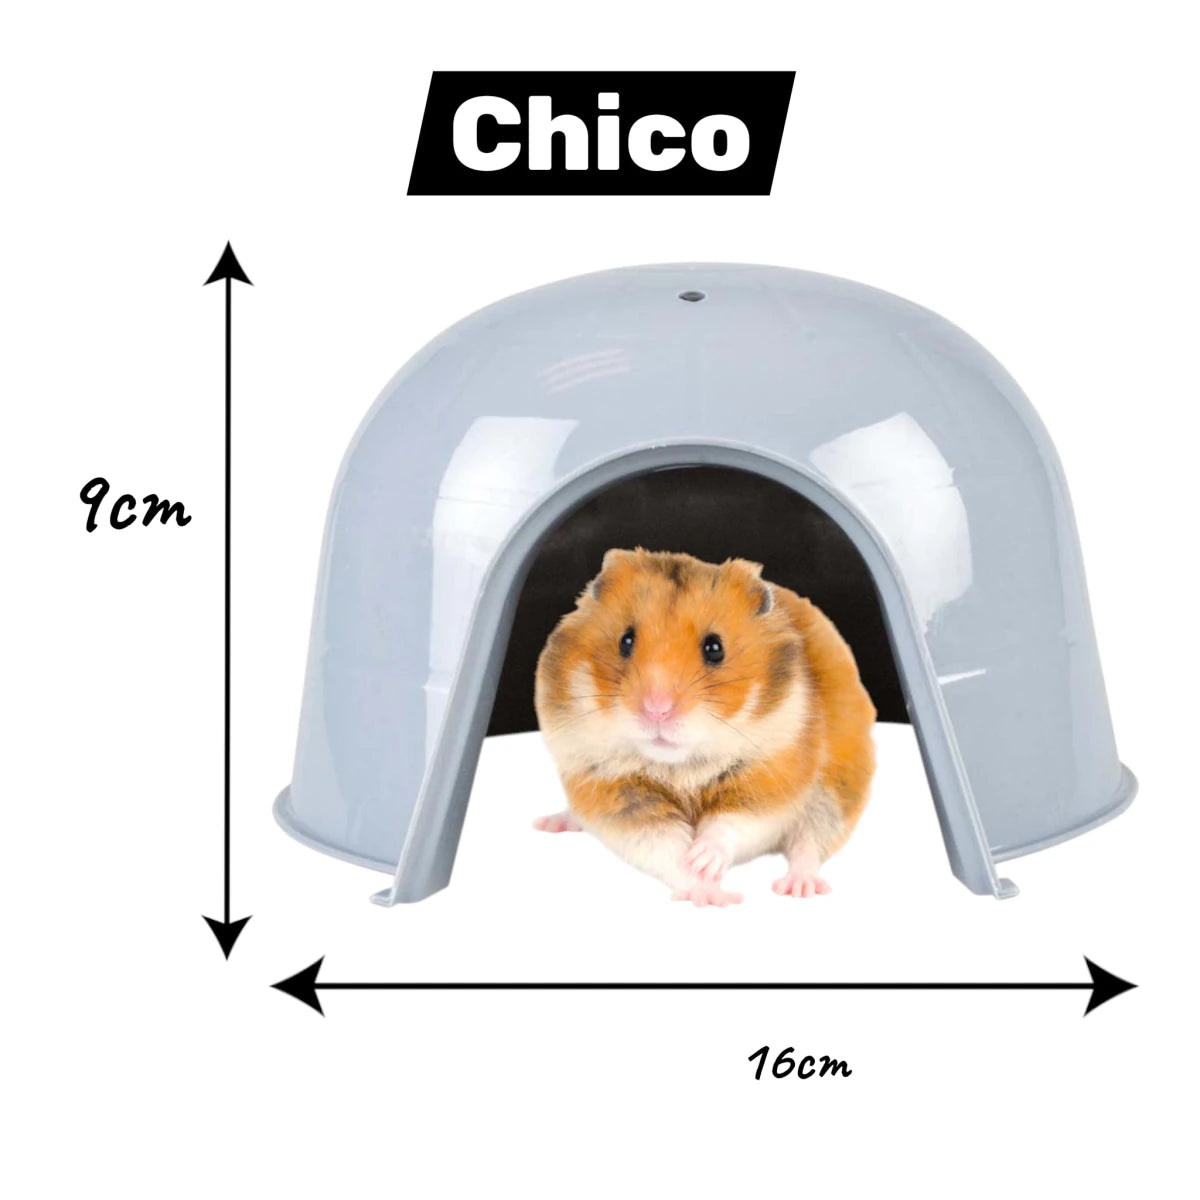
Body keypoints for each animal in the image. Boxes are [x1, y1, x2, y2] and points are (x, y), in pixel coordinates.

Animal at [533, 548, 876, 906]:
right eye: (625, 640)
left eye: (714, 648)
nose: (657, 709)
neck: (681, 766)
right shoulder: (614, 791)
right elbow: (663, 844)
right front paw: (710, 891)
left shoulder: (767, 780)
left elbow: (731, 824)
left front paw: (703, 860)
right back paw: (550, 822)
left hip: (836, 791)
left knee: (809, 844)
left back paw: (798, 889)